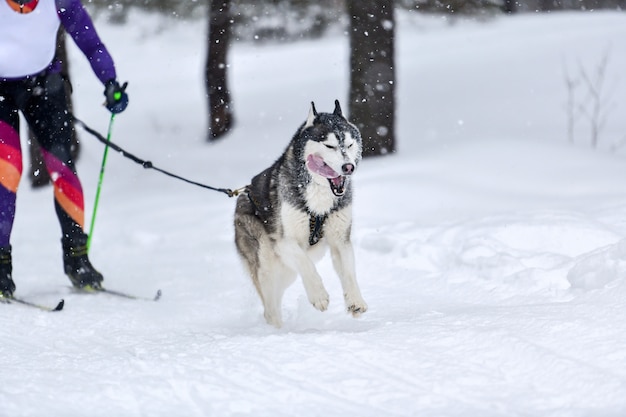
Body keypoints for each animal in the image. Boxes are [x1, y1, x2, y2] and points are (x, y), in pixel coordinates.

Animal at [236, 99, 368, 326]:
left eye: (350, 145)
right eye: (329, 145)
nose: (348, 167)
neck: (319, 197)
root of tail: (241, 194)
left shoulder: (340, 240)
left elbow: (349, 272)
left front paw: (355, 300)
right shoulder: (284, 242)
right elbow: (305, 263)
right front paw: (319, 295)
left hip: (287, 272)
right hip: (266, 261)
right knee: (270, 308)